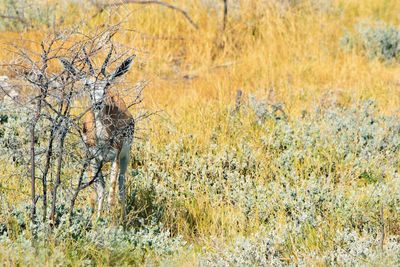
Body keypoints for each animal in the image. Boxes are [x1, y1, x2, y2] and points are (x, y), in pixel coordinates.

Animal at [58, 46, 135, 222]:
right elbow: (98, 190)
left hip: (125, 157)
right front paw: (97, 220)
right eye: (87, 84)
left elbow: (111, 194)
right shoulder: (93, 157)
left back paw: (123, 218)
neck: (101, 137)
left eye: (106, 83)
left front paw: (111, 223)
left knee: (121, 183)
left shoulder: (115, 158)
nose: (98, 102)